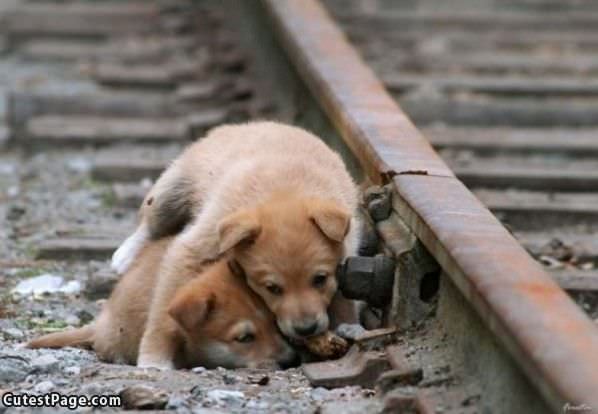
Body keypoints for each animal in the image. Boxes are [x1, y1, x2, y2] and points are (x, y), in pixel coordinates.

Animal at [111, 122, 366, 368]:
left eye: (320, 279)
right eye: (272, 288)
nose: (306, 329)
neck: (284, 191)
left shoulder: (347, 251)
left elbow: (344, 297)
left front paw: (348, 328)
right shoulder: (197, 245)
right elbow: (164, 311)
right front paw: (155, 358)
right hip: (174, 187)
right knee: (150, 220)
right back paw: (124, 256)